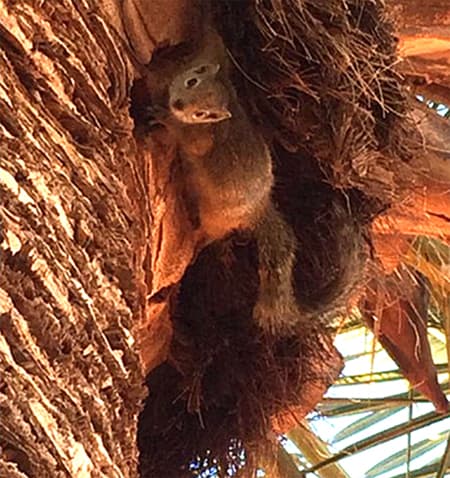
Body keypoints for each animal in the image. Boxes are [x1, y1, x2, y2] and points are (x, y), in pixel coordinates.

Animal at [149, 31, 300, 334]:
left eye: (202, 115)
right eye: (192, 80)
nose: (178, 105)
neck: (227, 101)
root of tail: (259, 209)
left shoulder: (200, 139)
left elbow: (188, 140)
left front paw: (165, 117)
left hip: (216, 218)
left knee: (205, 236)